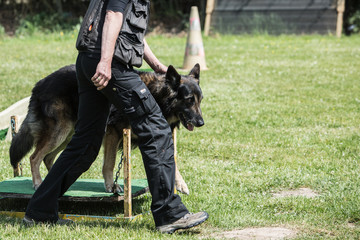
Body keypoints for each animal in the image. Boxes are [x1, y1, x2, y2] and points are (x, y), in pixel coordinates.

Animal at [9, 64, 204, 195]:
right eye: (189, 100)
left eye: (200, 100)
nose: (201, 122)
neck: (157, 96)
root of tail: (40, 84)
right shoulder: (113, 133)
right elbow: (109, 164)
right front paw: (112, 186)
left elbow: (172, 161)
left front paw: (180, 184)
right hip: (60, 132)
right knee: (35, 157)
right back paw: (38, 183)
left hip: (69, 134)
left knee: (48, 158)